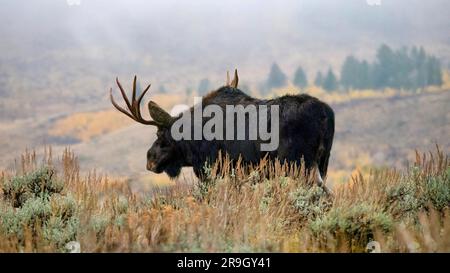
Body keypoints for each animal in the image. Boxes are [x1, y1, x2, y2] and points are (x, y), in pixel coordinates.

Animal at [109, 70, 334, 189]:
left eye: (160, 135)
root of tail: (326, 114)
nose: (150, 160)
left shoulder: (211, 169)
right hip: (322, 162)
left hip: (301, 164)